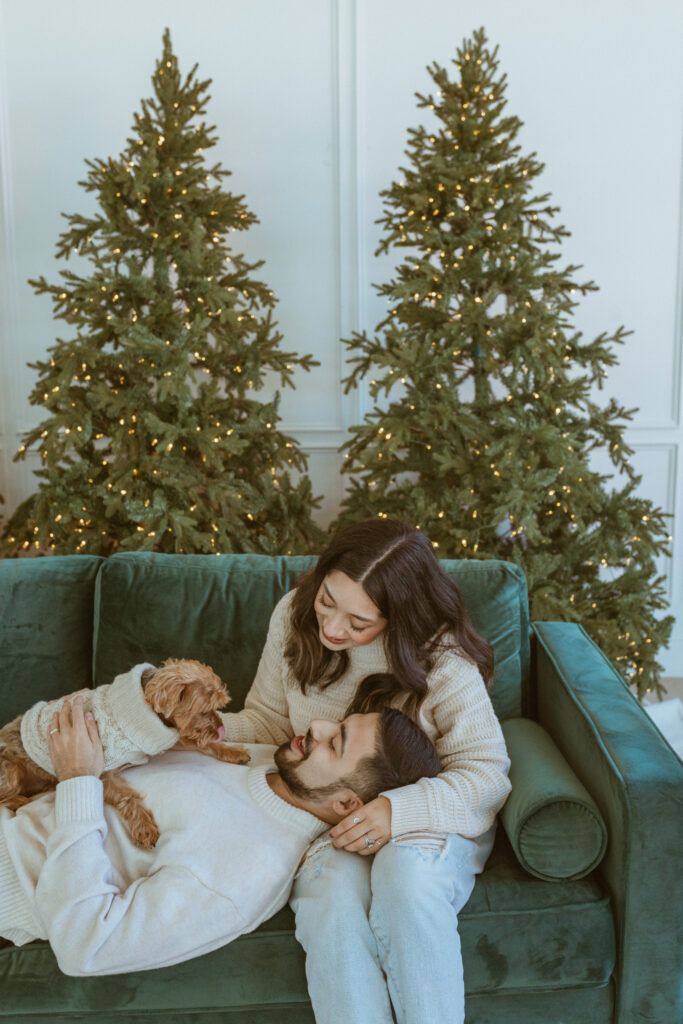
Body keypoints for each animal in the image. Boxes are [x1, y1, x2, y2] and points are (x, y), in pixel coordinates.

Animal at [0, 659, 248, 843]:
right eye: (204, 710)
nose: (221, 729)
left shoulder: (162, 738)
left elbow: (201, 743)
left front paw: (232, 752)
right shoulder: (102, 768)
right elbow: (127, 796)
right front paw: (145, 827)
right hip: (10, 768)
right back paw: (17, 801)